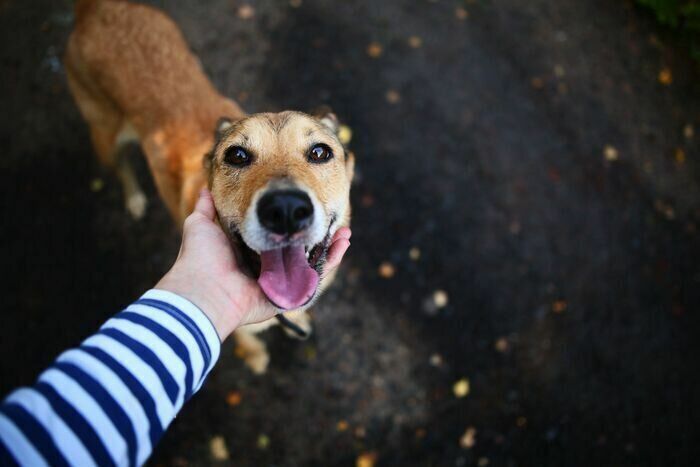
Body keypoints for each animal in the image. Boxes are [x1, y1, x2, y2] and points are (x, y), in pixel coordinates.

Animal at [66, 0, 356, 372]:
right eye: (237, 155)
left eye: (320, 152)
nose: (286, 210)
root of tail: (96, 7)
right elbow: (247, 342)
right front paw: (256, 357)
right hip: (104, 135)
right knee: (121, 166)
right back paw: (134, 198)